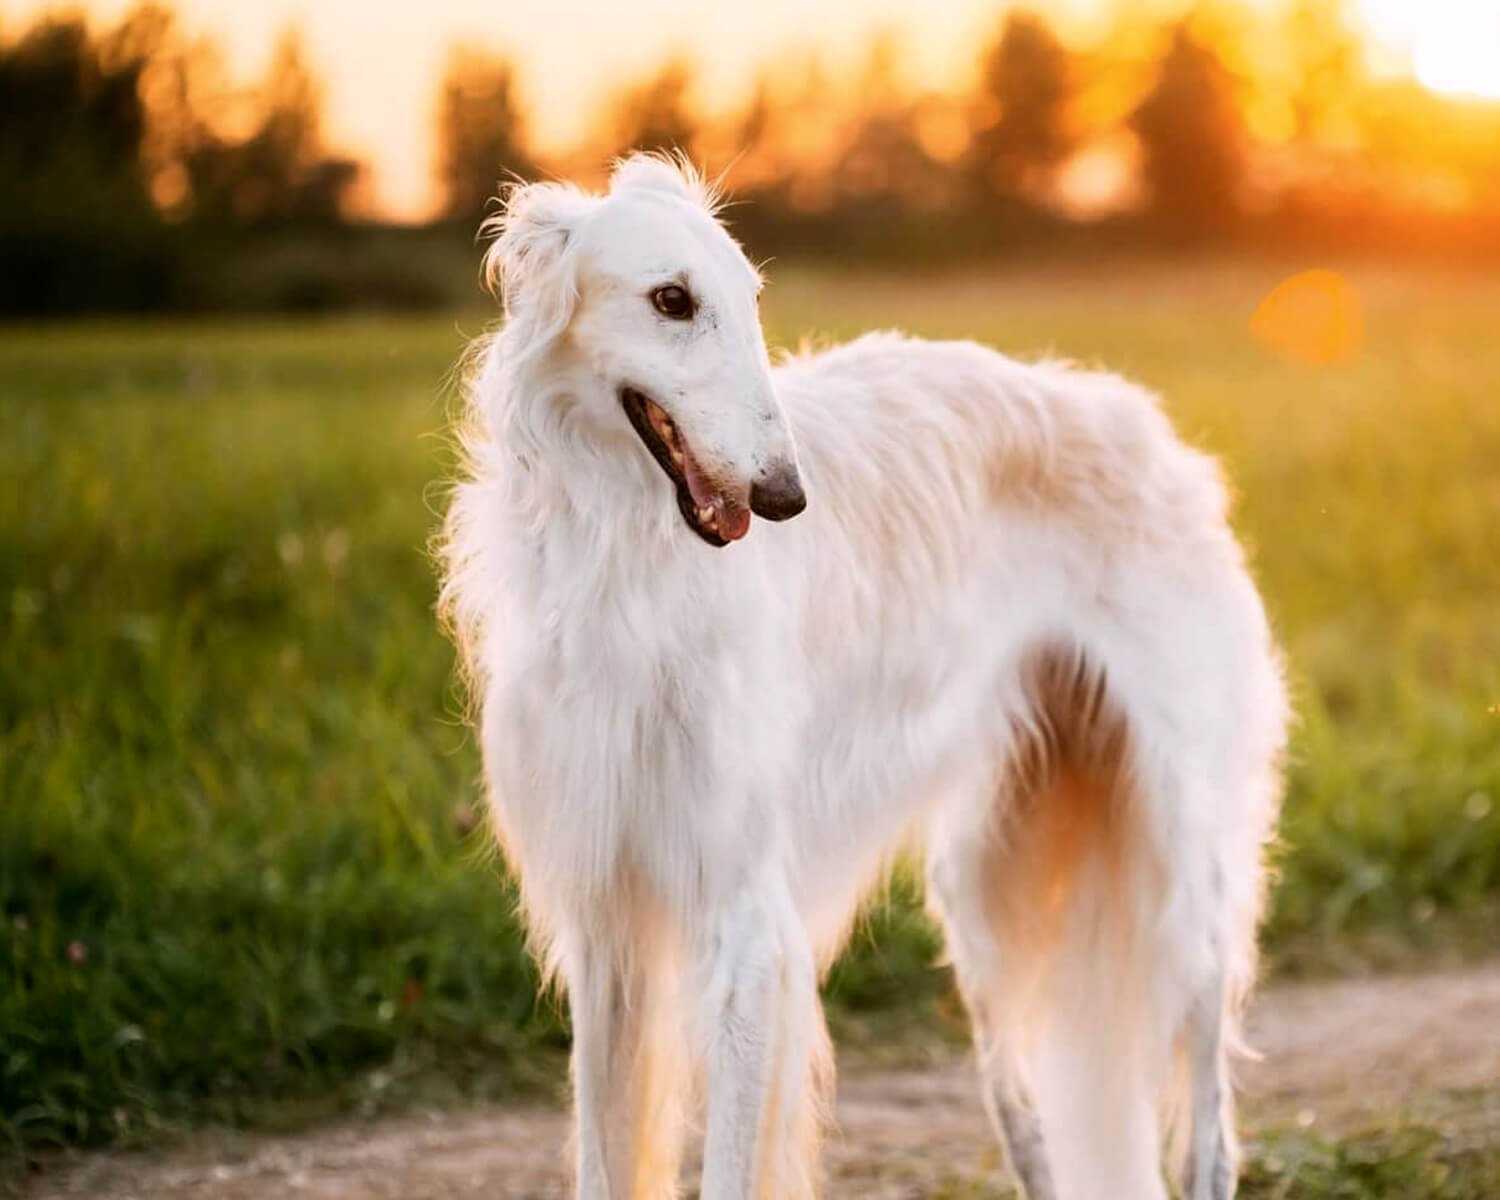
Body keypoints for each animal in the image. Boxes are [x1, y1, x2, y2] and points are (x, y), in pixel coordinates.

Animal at [438, 152, 1290, 1200]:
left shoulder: (745, 920)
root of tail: (1154, 433)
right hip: (987, 907)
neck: (629, 566)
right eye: (671, 299)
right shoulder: (606, 926)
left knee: (1209, 1133)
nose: (784, 496)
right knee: (1031, 1127)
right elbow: (604, 1160)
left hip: (1182, 886)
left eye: (751, 298)